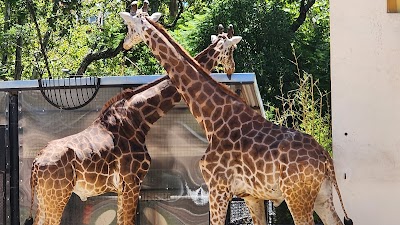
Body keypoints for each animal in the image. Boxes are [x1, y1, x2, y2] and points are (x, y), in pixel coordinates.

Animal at [25, 15, 242, 225]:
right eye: (232, 49)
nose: (231, 69)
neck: (138, 119)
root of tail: (35, 164)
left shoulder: (124, 187)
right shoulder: (131, 181)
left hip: (45, 197)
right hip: (57, 194)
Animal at [119, 6, 354, 225]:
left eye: (130, 26)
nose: (125, 44)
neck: (213, 117)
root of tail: (325, 158)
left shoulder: (218, 187)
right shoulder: (251, 196)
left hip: (297, 195)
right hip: (322, 197)